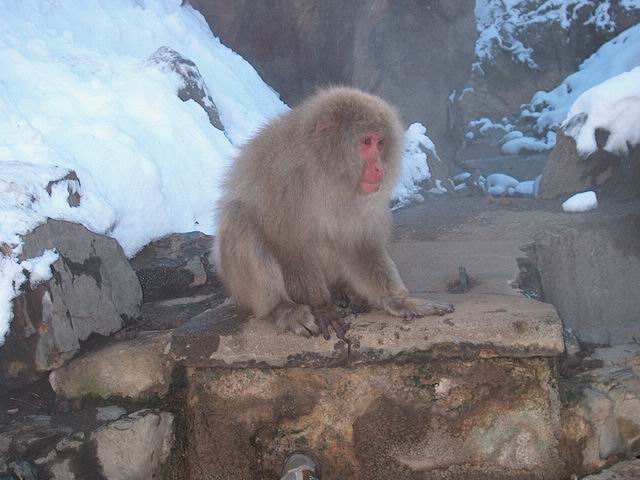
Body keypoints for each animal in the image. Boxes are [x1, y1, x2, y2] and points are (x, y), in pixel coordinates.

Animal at [214, 86, 454, 339]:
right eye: (366, 141)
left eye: (380, 143)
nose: (379, 168)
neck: (324, 169)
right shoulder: (285, 180)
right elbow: (288, 243)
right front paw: (321, 307)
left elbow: (360, 243)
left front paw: (400, 301)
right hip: (239, 284)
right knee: (238, 217)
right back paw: (283, 307)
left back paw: (345, 290)